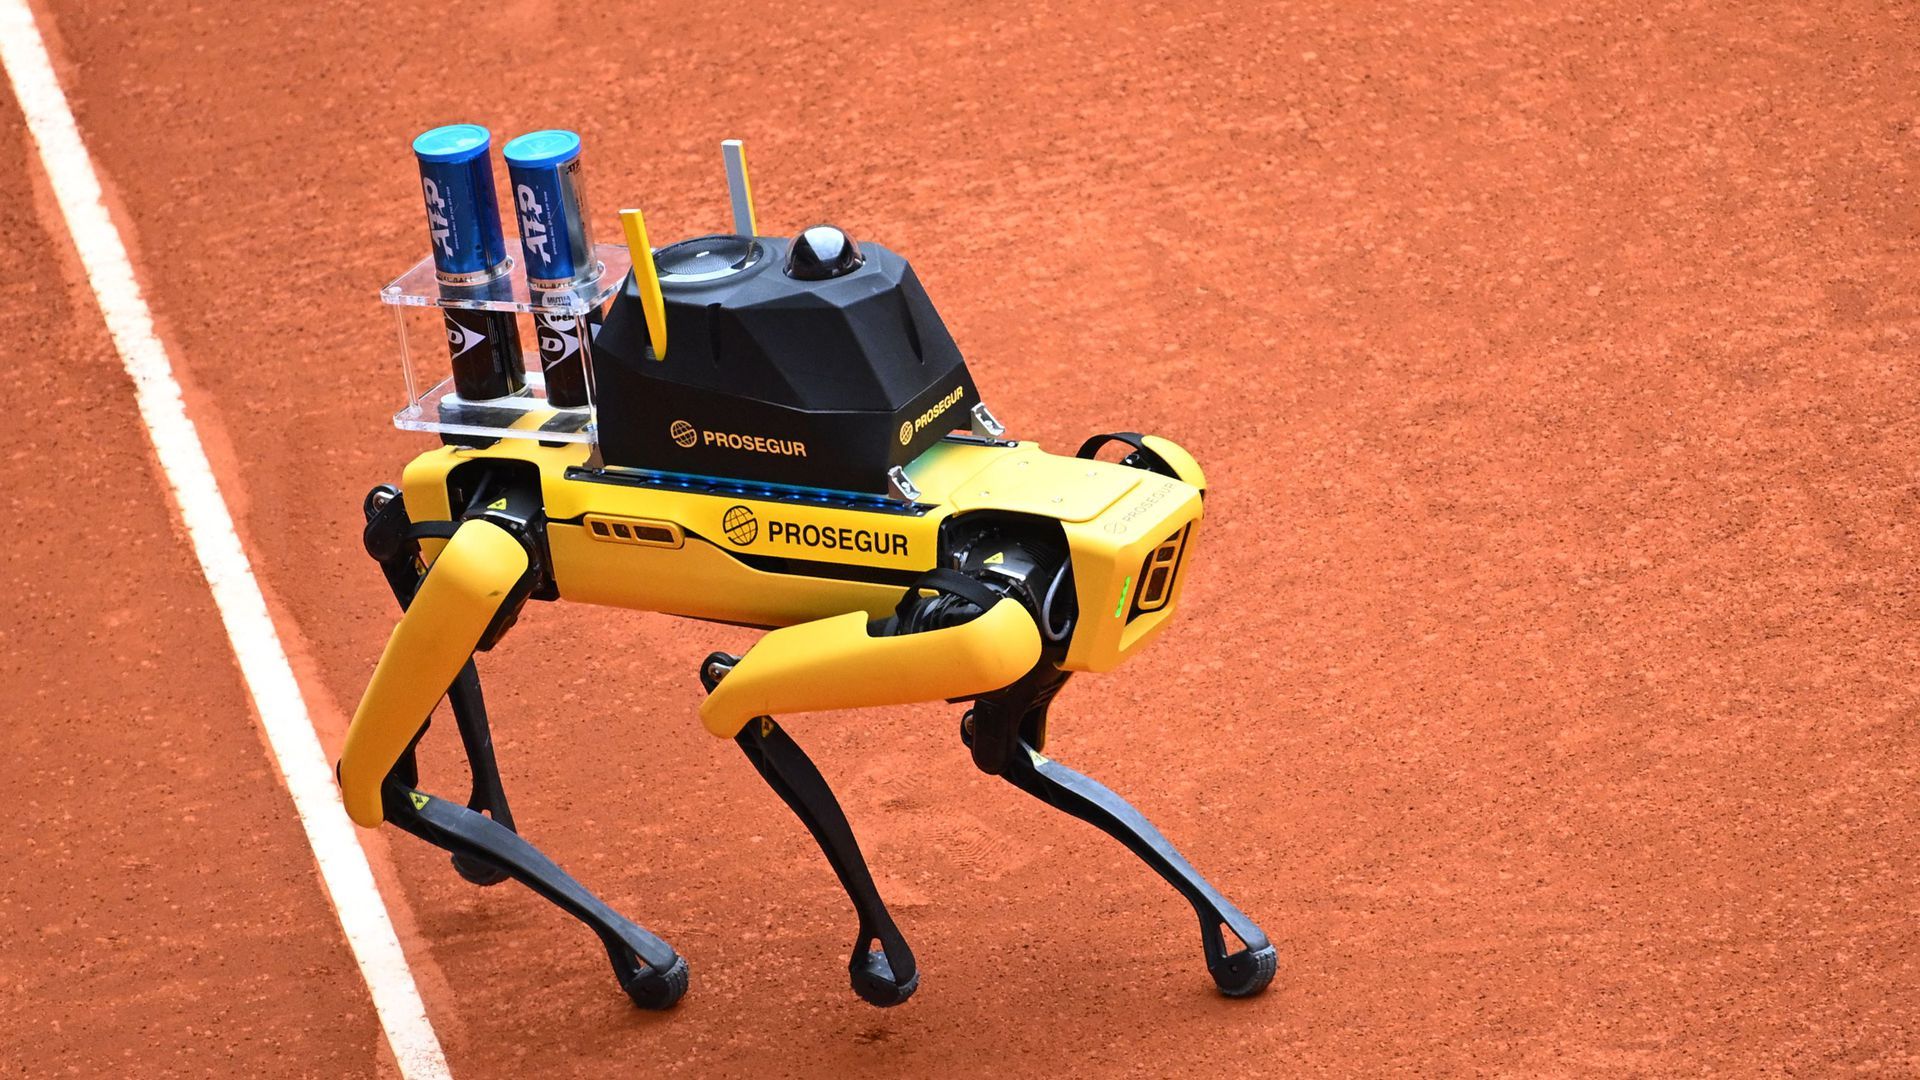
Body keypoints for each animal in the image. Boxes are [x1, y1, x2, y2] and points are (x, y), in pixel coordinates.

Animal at [345, 130, 1274, 1006]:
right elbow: (733, 689)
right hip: (495, 535)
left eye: (1163, 549)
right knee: (377, 774)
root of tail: (457, 443)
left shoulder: (1010, 647)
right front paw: (877, 962)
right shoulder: (984, 624)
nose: (1153, 559)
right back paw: (616, 938)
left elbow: (1002, 750)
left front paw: (1229, 938)